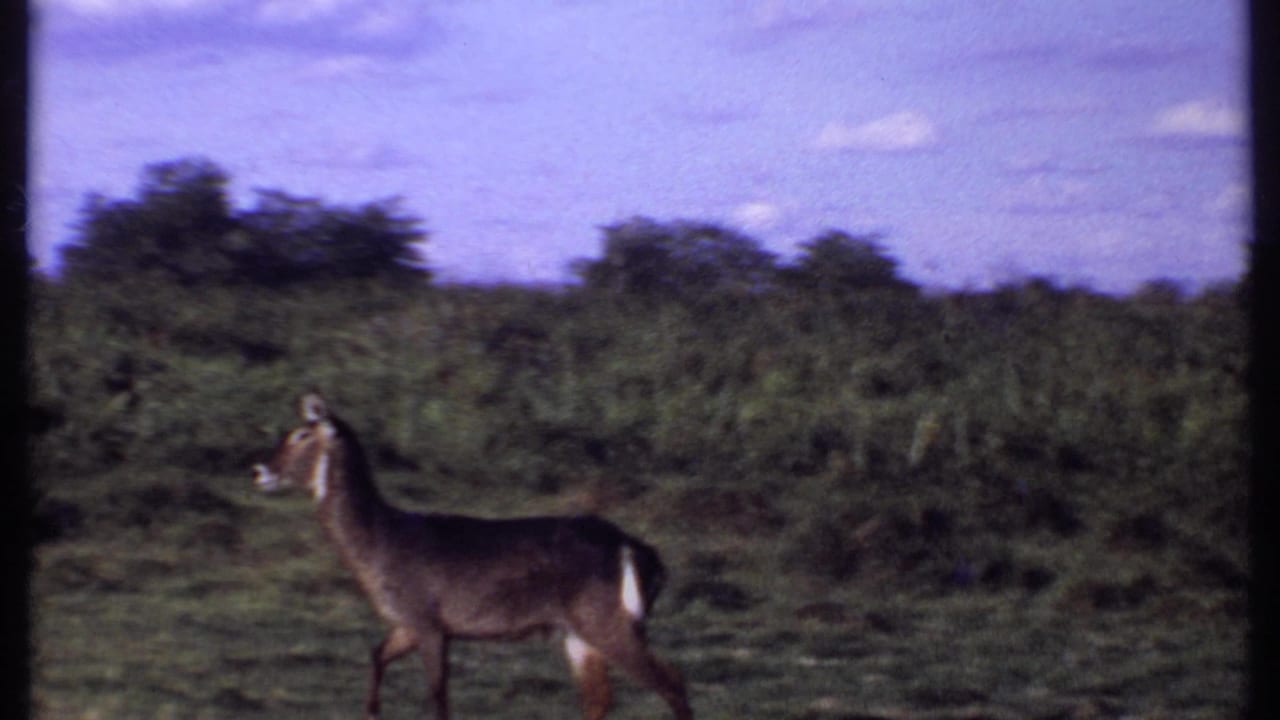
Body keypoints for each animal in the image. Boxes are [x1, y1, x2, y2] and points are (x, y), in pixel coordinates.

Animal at [252, 393, 692, 720]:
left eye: (301, 434)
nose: (259, 471)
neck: (378, 542)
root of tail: (637, 549)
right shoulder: (409, 623)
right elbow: (377, 656)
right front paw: (372, 711)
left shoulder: (428, 622)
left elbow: (438, 697)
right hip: (577, 632)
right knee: (600, 699)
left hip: (609, 622)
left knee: (672, 680)